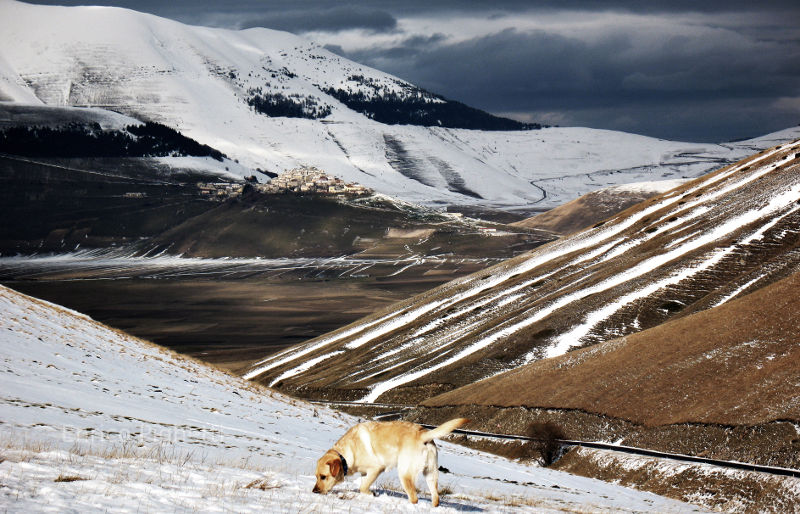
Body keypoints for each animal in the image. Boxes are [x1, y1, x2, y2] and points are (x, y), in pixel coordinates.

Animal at [312, 416, 468, 504]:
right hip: (431, 473)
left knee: (414, 498)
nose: (314, 491)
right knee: (435, 499)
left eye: (323, 476)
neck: (346, 455)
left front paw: (372, 494)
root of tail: (422, 434)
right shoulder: (364, 473)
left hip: (404, 473)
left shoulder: (376, 469)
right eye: (316, 476)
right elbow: (363, 484)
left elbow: (363, 487)